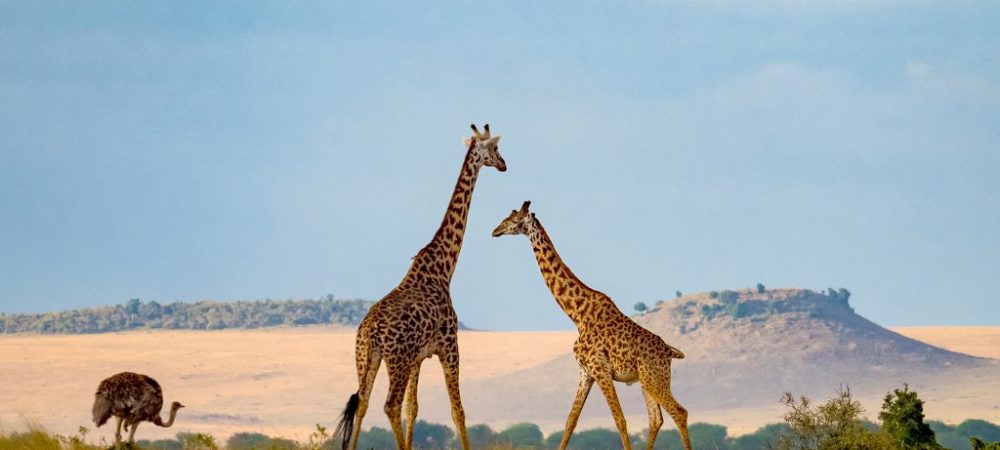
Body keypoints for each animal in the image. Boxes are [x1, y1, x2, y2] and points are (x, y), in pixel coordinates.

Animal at [334, 124, 506, 450]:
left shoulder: (418, 358)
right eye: (495, 148)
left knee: (363, 403)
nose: (504, 165)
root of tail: (371, 330)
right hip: (396, 360)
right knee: (389, 405)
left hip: (366, 358)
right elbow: (457, 410)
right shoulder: (449, 344)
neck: (443, 268)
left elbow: (413, 409)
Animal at [492, 201, 691, 450]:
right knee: (656, 419)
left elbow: (620, 419)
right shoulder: (585, 371)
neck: (577, 314)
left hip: (655, 377)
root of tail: (669, 352)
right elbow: (571, 420)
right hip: (646, 380)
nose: (495, 231)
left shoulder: (600, 368)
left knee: (679, 412)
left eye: (514, 219)